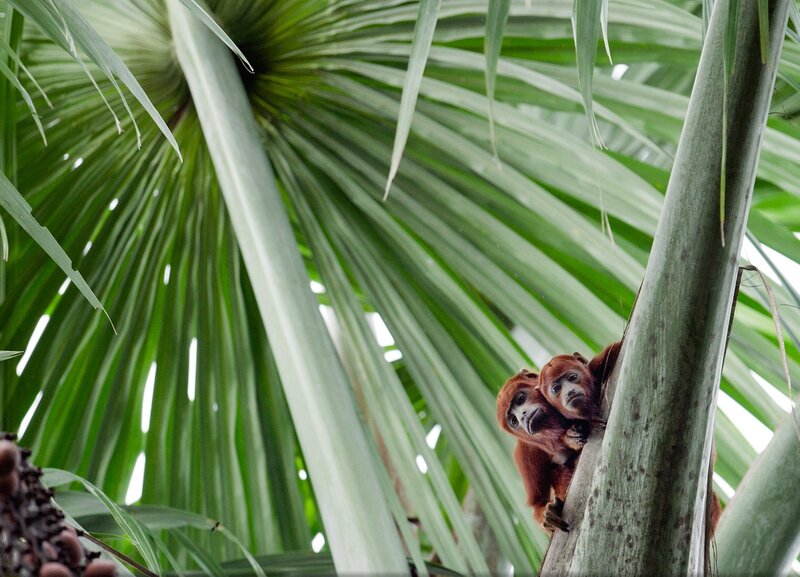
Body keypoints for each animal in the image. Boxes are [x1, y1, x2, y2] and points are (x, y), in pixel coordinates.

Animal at [496, 370, 590, 532]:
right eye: (513, 420)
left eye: (520, 399)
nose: (523, 416)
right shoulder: (525, 453)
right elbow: (538, 502)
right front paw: (547, 515)